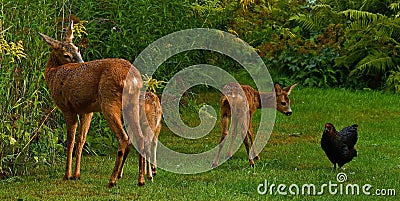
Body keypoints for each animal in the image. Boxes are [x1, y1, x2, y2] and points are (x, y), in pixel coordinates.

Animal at [39, 21, 159, 187]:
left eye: (77, 49)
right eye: (66, 54)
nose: (81, 62)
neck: (53, 73)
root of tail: (134, 79)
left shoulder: (67, 108)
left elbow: (70, 141)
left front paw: (67, 175)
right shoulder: (86, 110)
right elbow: (81, 140)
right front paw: (77, 174)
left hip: (109, 102)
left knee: (124, 138)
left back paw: (112, 180)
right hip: (132, 104)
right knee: (139, 137)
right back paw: (141, 180)